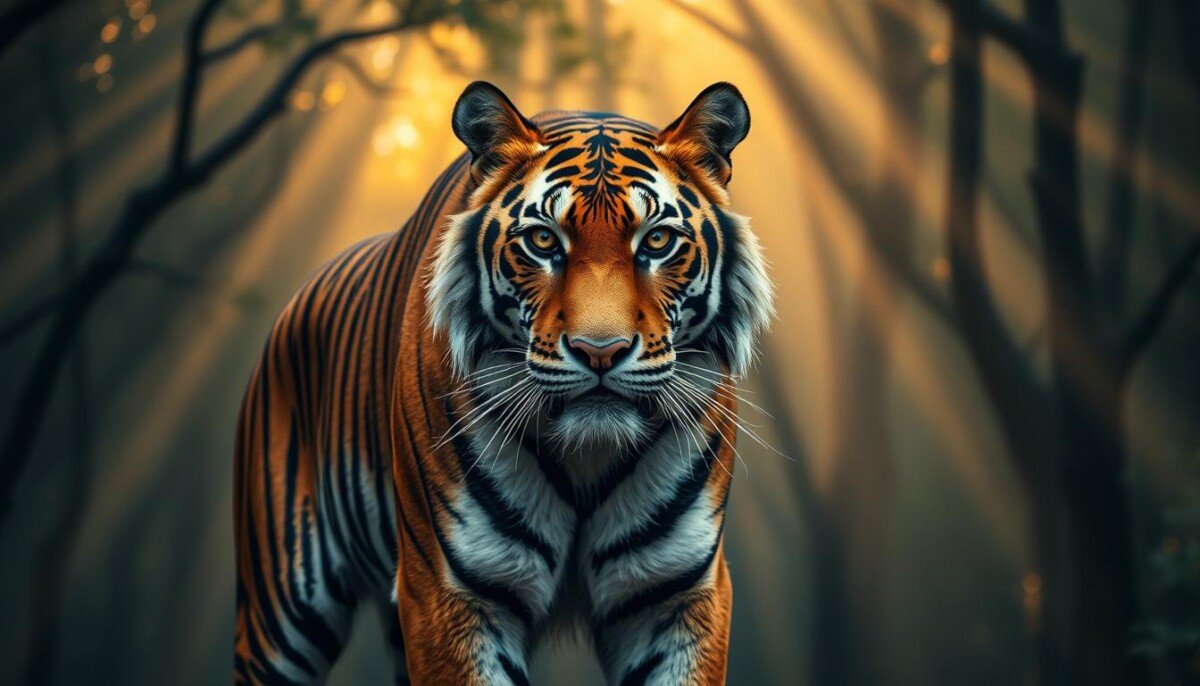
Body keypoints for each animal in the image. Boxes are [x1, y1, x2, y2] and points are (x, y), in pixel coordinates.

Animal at [233, 81, 773, 685]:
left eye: (657, 242)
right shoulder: (449, 592)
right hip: (283, 609)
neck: (588, 459)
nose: (600, 351)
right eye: (542, 240)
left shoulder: (675, 595)